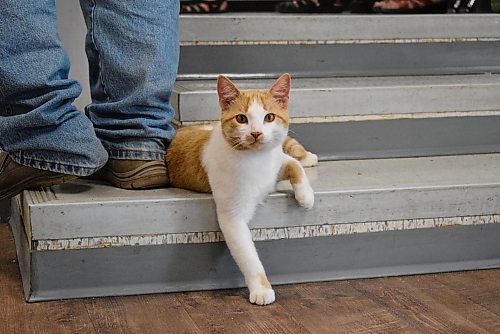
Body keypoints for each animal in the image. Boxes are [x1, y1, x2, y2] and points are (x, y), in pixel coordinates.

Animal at [166, 73, 318, 306]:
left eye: (269, 117)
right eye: (241, 119)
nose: (256, 133)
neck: (257, 159)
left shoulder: (277, 161)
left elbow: (294, 165)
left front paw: (305, 196)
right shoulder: (232, 218)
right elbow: (248, 256)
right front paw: (261, 289)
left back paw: (308, 157)